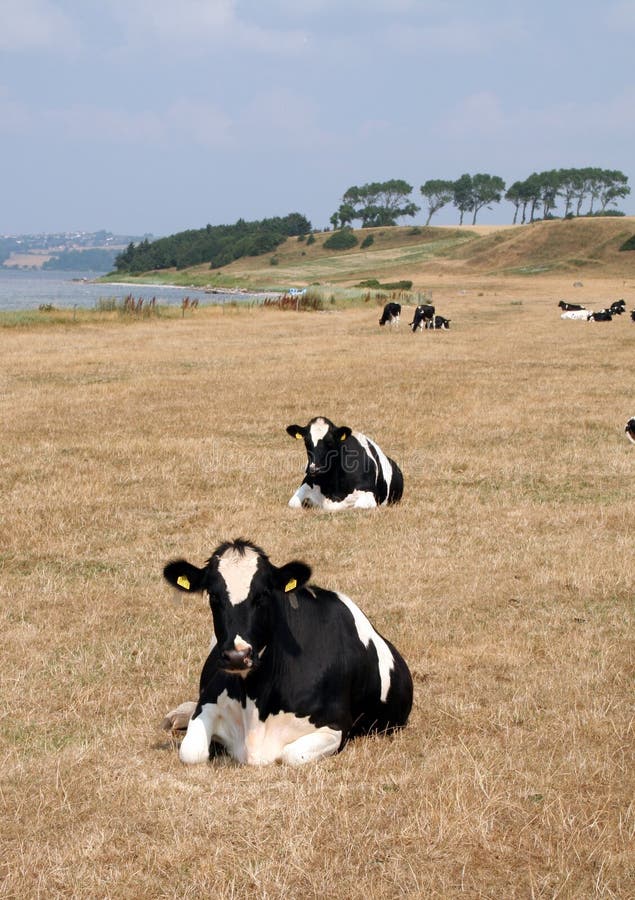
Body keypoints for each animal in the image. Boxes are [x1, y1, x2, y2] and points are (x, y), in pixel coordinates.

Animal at [161, 540, 414, 768]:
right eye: (213, 595)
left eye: (263, 594)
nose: (237, 656)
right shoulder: (210, 701)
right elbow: (191, 752)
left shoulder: (336, 725)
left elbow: (290, 755)